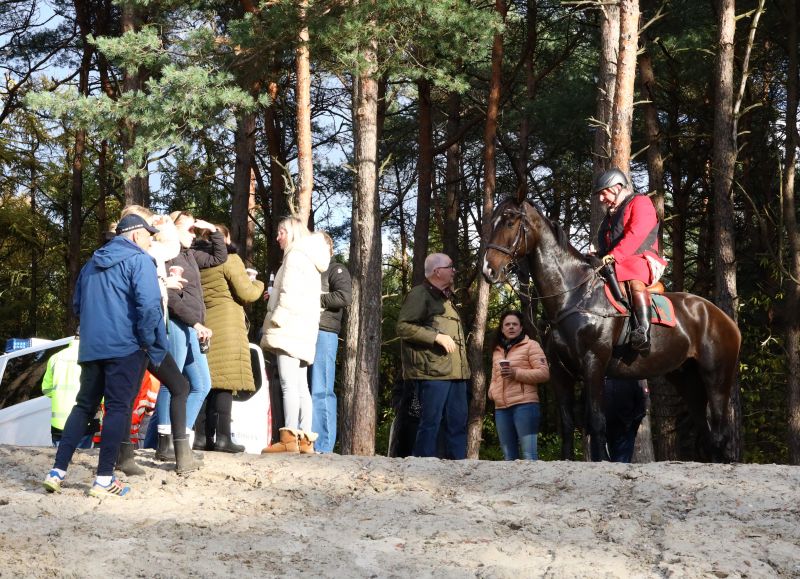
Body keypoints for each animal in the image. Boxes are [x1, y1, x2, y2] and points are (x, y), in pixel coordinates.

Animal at [482, 196, 741, 462]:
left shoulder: (594, 363)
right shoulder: (559, 373)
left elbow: (597, 422)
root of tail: (723, 317)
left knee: (720, 433)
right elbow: (569, 424)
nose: (488, 270)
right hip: (687, 381)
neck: (574, 295)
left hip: (717, 378)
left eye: (510, 221)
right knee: (708, 433)